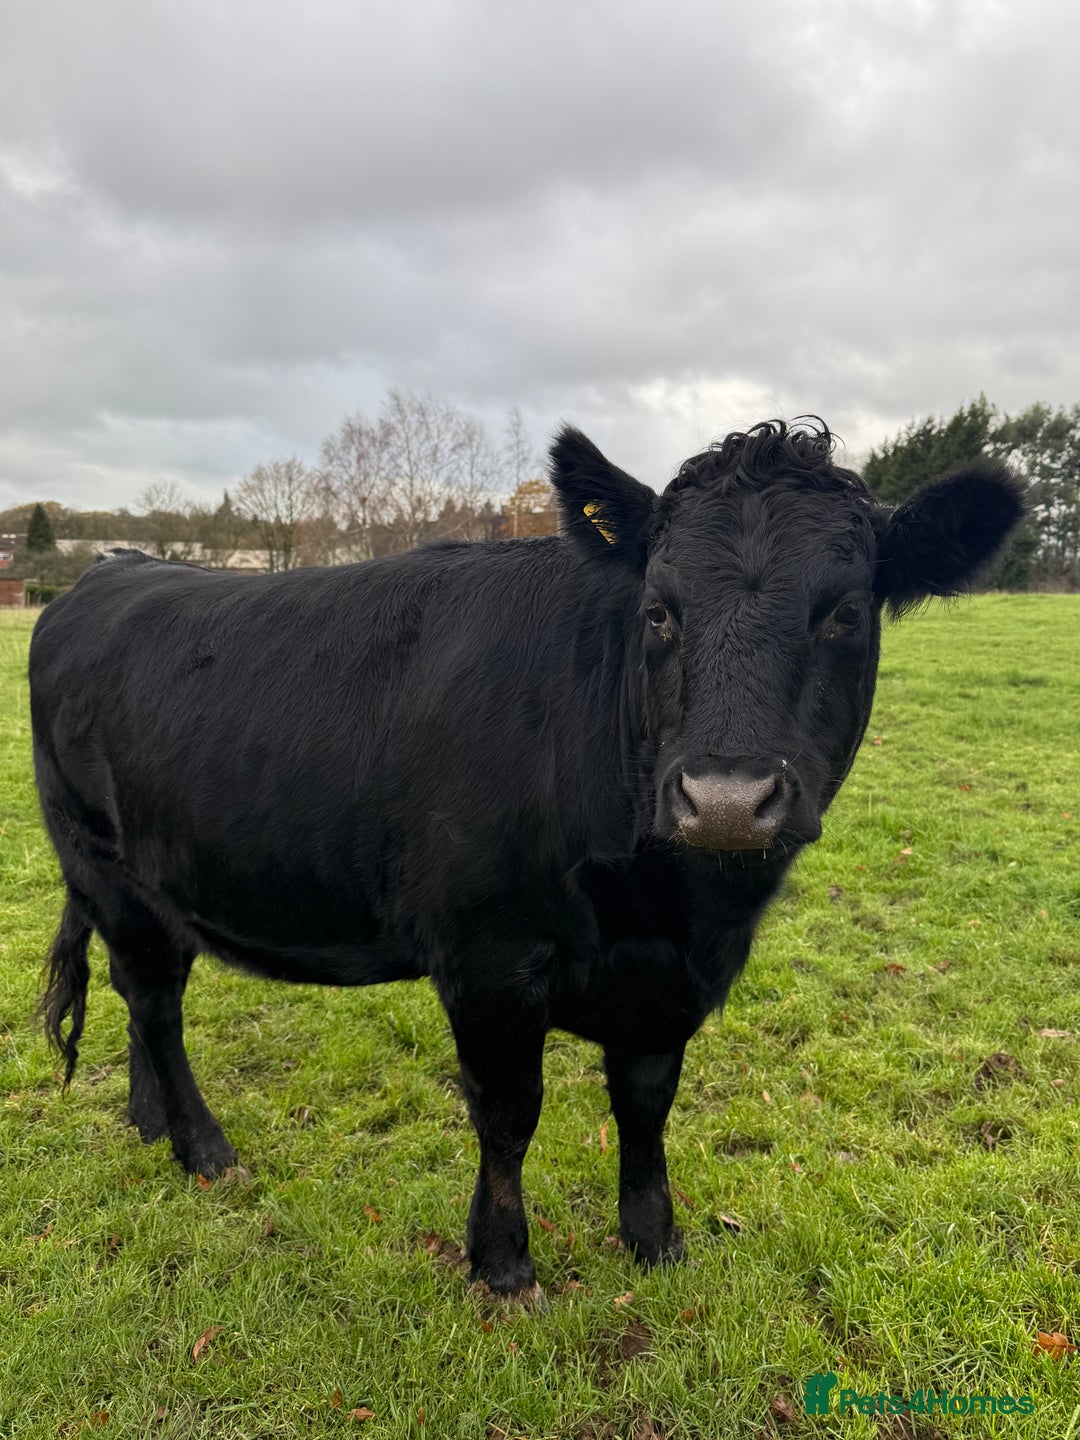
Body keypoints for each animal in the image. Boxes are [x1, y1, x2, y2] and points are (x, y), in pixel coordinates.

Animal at [30, 420, 1022, 1301]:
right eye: (658, 611)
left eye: (846, 611)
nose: (726, 799)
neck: (670, 903)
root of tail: (111, 568)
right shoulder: (488, 959)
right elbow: (509, 1115)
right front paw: (503, 1266)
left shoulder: (667, 981)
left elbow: (646, 1102)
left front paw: (655, 1241)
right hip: (105, 866)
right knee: (156, 1004)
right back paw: (205, 1150)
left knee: (140, 997)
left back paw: (149, 1123)